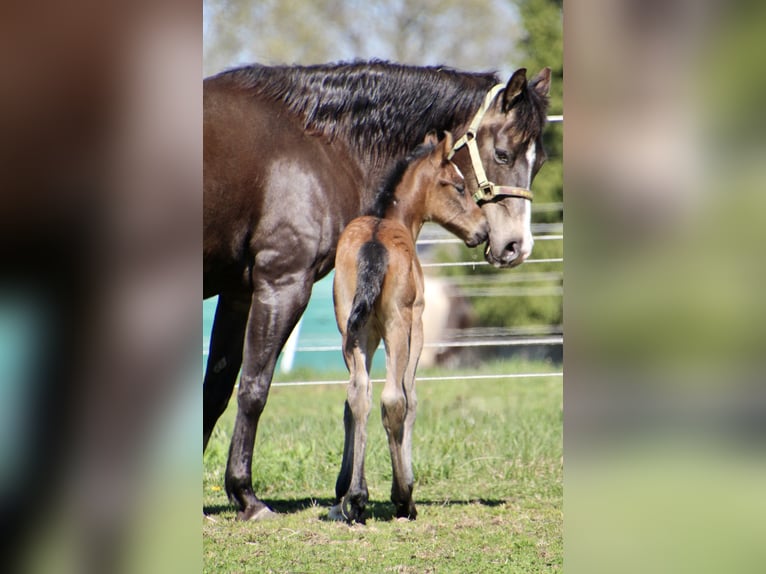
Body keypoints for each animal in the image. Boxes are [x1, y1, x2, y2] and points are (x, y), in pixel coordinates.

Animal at [330, 131, 486, 522]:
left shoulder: (364, 335)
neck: (392, 219)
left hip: (352, 331)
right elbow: (411, 397)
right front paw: (404, 488)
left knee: (359, 395)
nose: (483, 230)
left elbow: (353, 402)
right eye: (459, 186)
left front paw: (345, 491)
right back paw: (403, 498)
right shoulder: (418, 325)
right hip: (398, 327)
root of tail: (373, 244)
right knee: (392, 400)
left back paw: (356, 498)